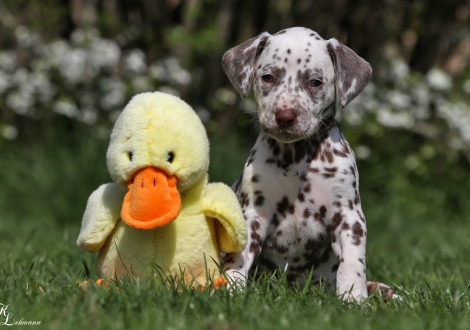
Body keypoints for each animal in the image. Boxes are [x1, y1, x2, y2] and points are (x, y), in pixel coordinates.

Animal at [222, 27, 394, 302]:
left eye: (314, 82)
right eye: (268, 77)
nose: (285, 116)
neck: (297, 157)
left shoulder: (349, 216)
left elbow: (352, 264)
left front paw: (355, 300)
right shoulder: (253, 213)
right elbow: (238, 255)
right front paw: (230, 287)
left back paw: (381, 291)